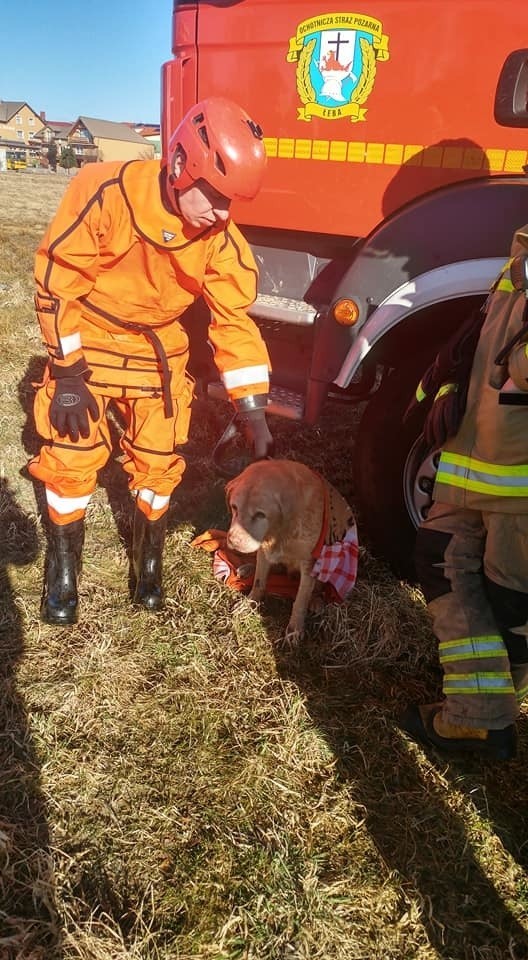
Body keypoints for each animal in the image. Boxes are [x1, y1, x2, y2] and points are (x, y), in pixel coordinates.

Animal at [225, 460, 356, 640]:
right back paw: (247, 568)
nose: (232, 541)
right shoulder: (265, 550)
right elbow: (259, 580)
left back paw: (316, 600)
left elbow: (301, 599)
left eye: (260, 514)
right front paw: (250, 602)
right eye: (234, 507)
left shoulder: (310, 563)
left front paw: (295, 629)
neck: (280, 531)